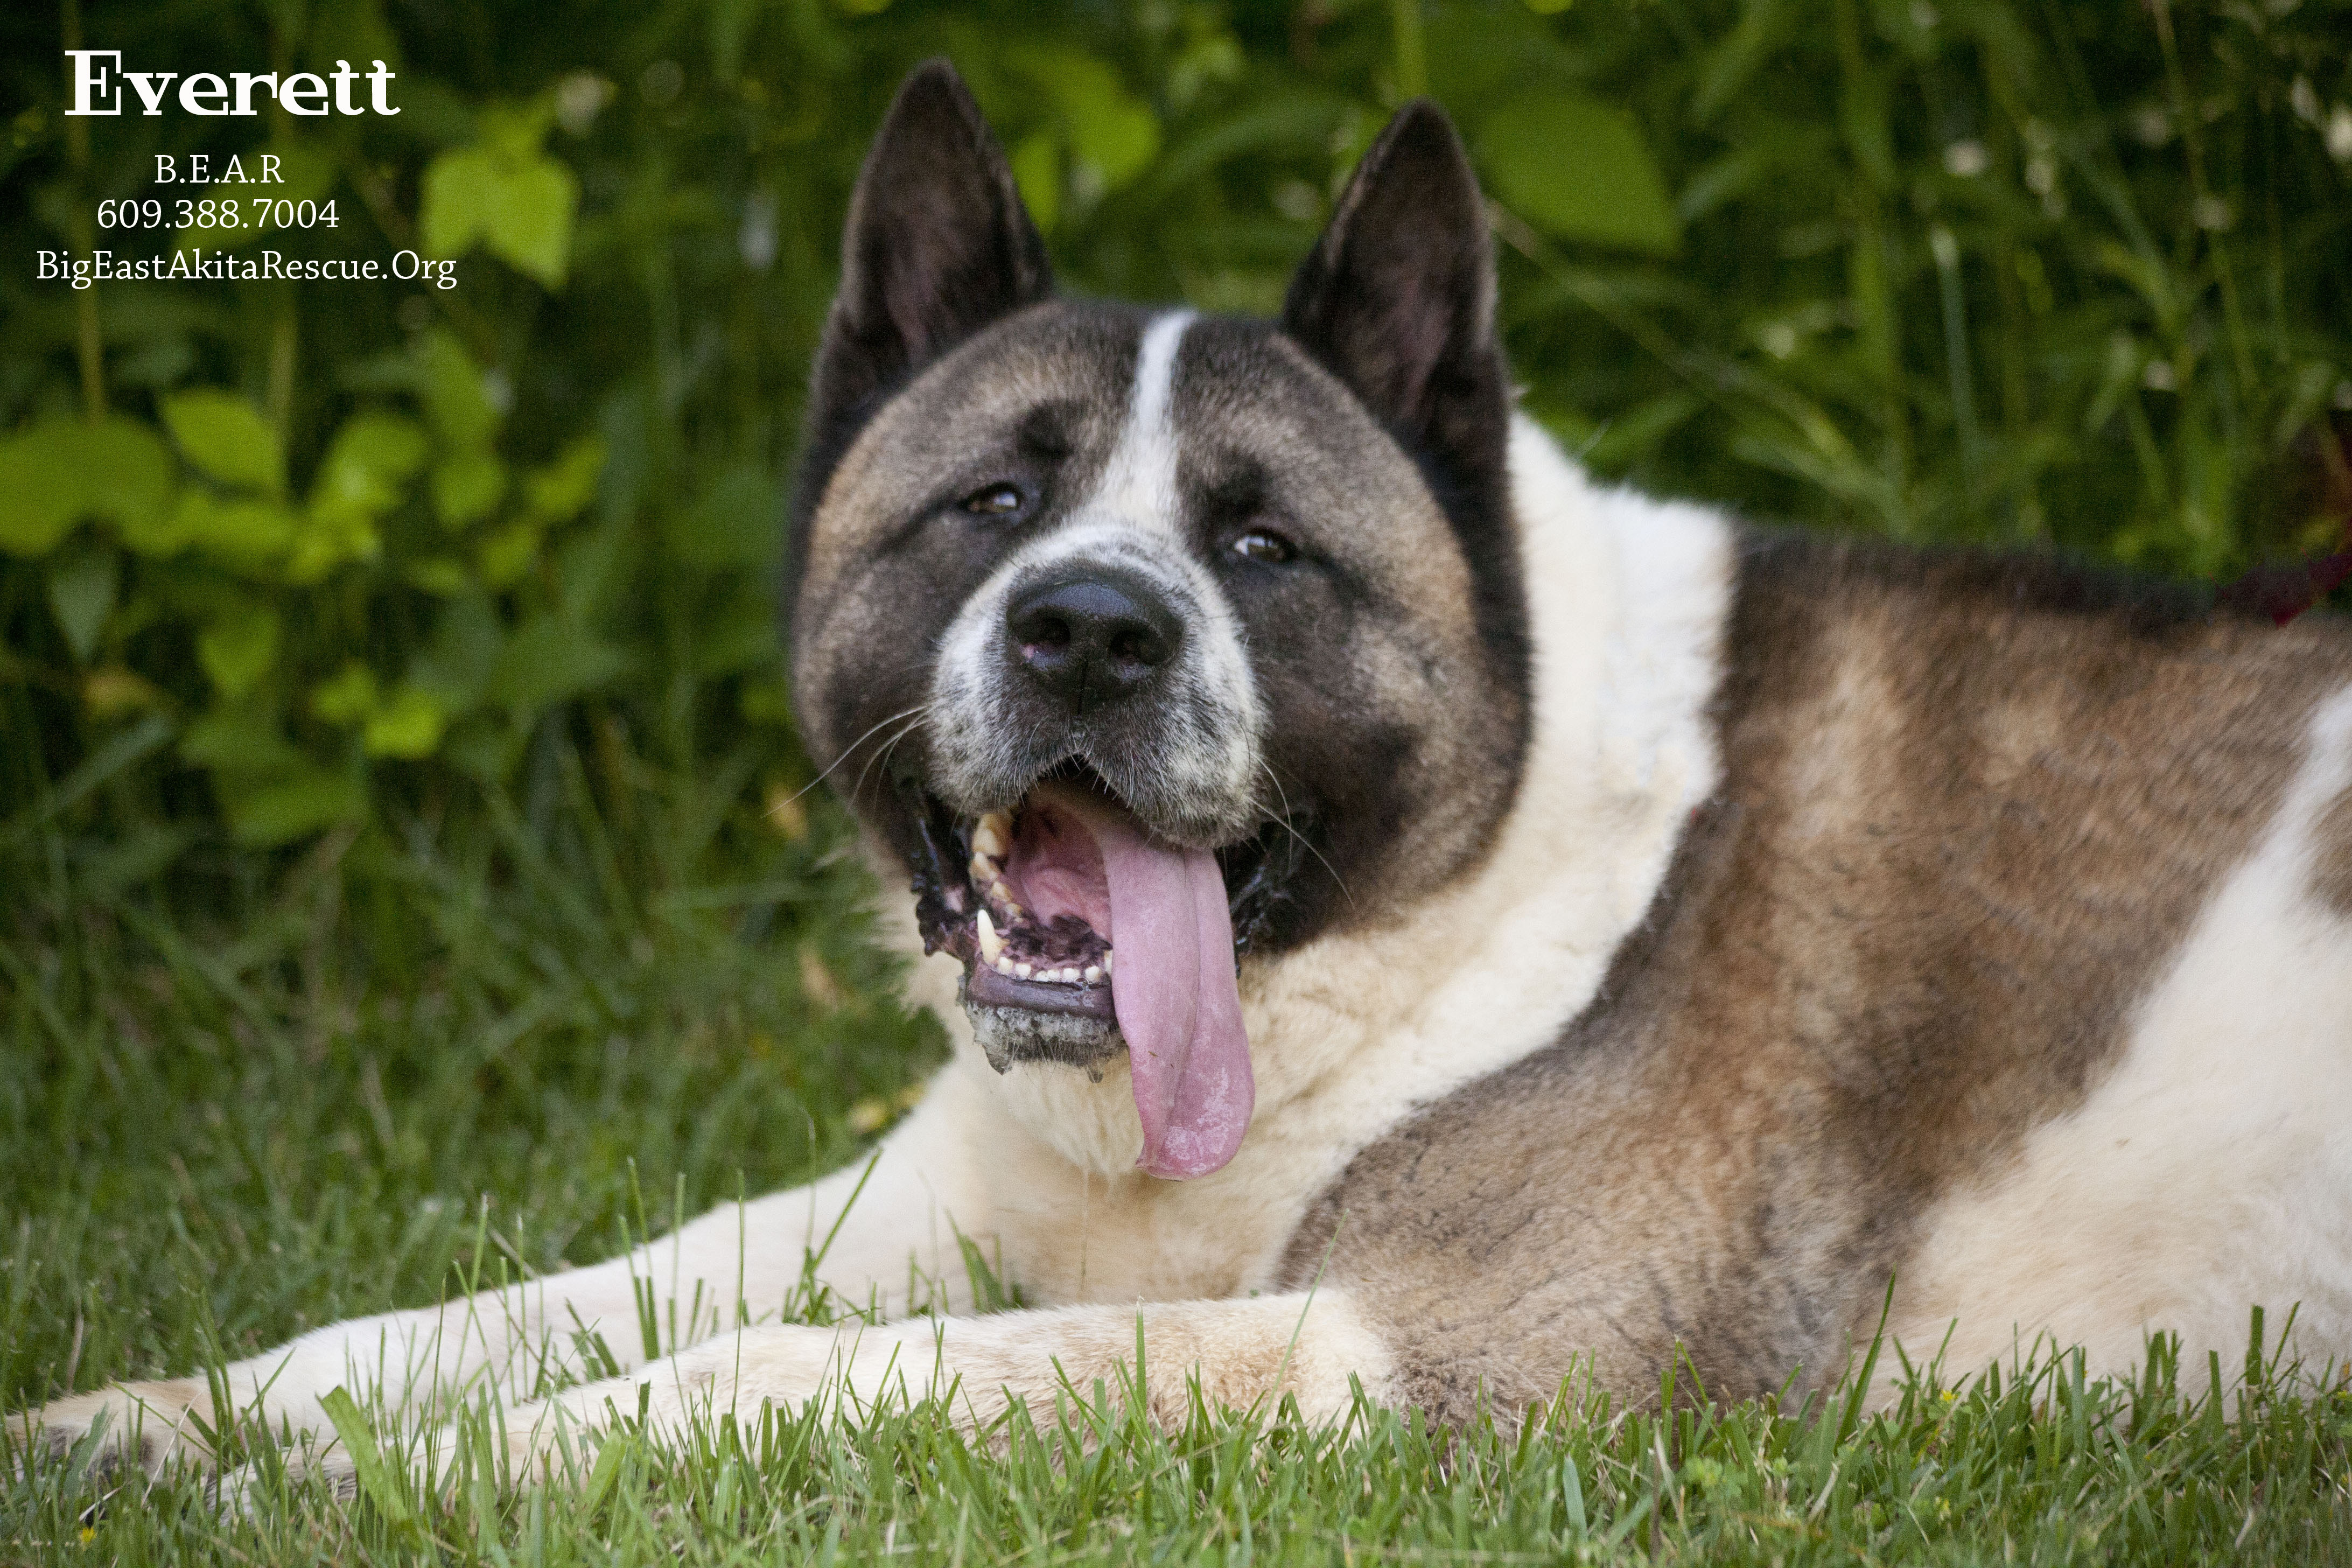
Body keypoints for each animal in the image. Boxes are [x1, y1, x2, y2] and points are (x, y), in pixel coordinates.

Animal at [23, 58, 2352, 1486]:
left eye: (1260, 545)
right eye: (990, 501)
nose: (1088, 630)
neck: (1417, 936)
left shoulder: (1437, 1363)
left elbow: (788, 1372)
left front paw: (411, 1478)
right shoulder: (904, 1210)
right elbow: (490, 1309)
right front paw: (161, 1422)